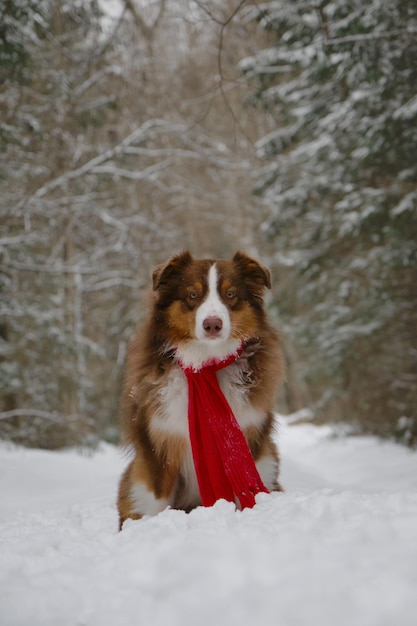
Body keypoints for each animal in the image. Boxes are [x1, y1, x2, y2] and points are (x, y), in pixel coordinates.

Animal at [117, 249, 282, 528]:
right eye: (193, 295)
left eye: (230, 295)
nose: (212, 324)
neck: (204, 364)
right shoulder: (157, 445)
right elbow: (156, 500)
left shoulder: (250, 440)